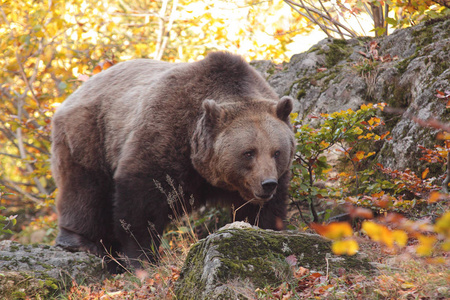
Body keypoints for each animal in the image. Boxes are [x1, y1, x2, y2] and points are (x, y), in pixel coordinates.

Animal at [51, 51, 296, 270]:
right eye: (248, 152)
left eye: (277, 152)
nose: (267, 183)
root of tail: (76, 92)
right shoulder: (167, 135)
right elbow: (141, 201)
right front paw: (141, 257)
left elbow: (264, 211)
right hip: (90, 132)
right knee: (85, 187)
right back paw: (81, 241)